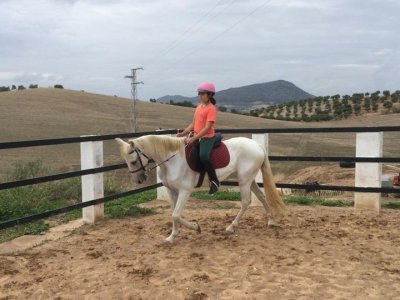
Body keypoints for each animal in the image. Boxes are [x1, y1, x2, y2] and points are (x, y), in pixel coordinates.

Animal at [116, 135, 288, 243]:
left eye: (133, 161)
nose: (138, 180)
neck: (172, 160)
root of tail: (257, 145)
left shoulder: (185, 191)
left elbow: (176, 215)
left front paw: (195, 227)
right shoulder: (172, 191)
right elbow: (173, 214)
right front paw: (172, 237)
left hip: (244, 180)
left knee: (245, 202)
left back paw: (231, 227)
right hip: (249, 179)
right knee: (261, 196)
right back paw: (271, 220)